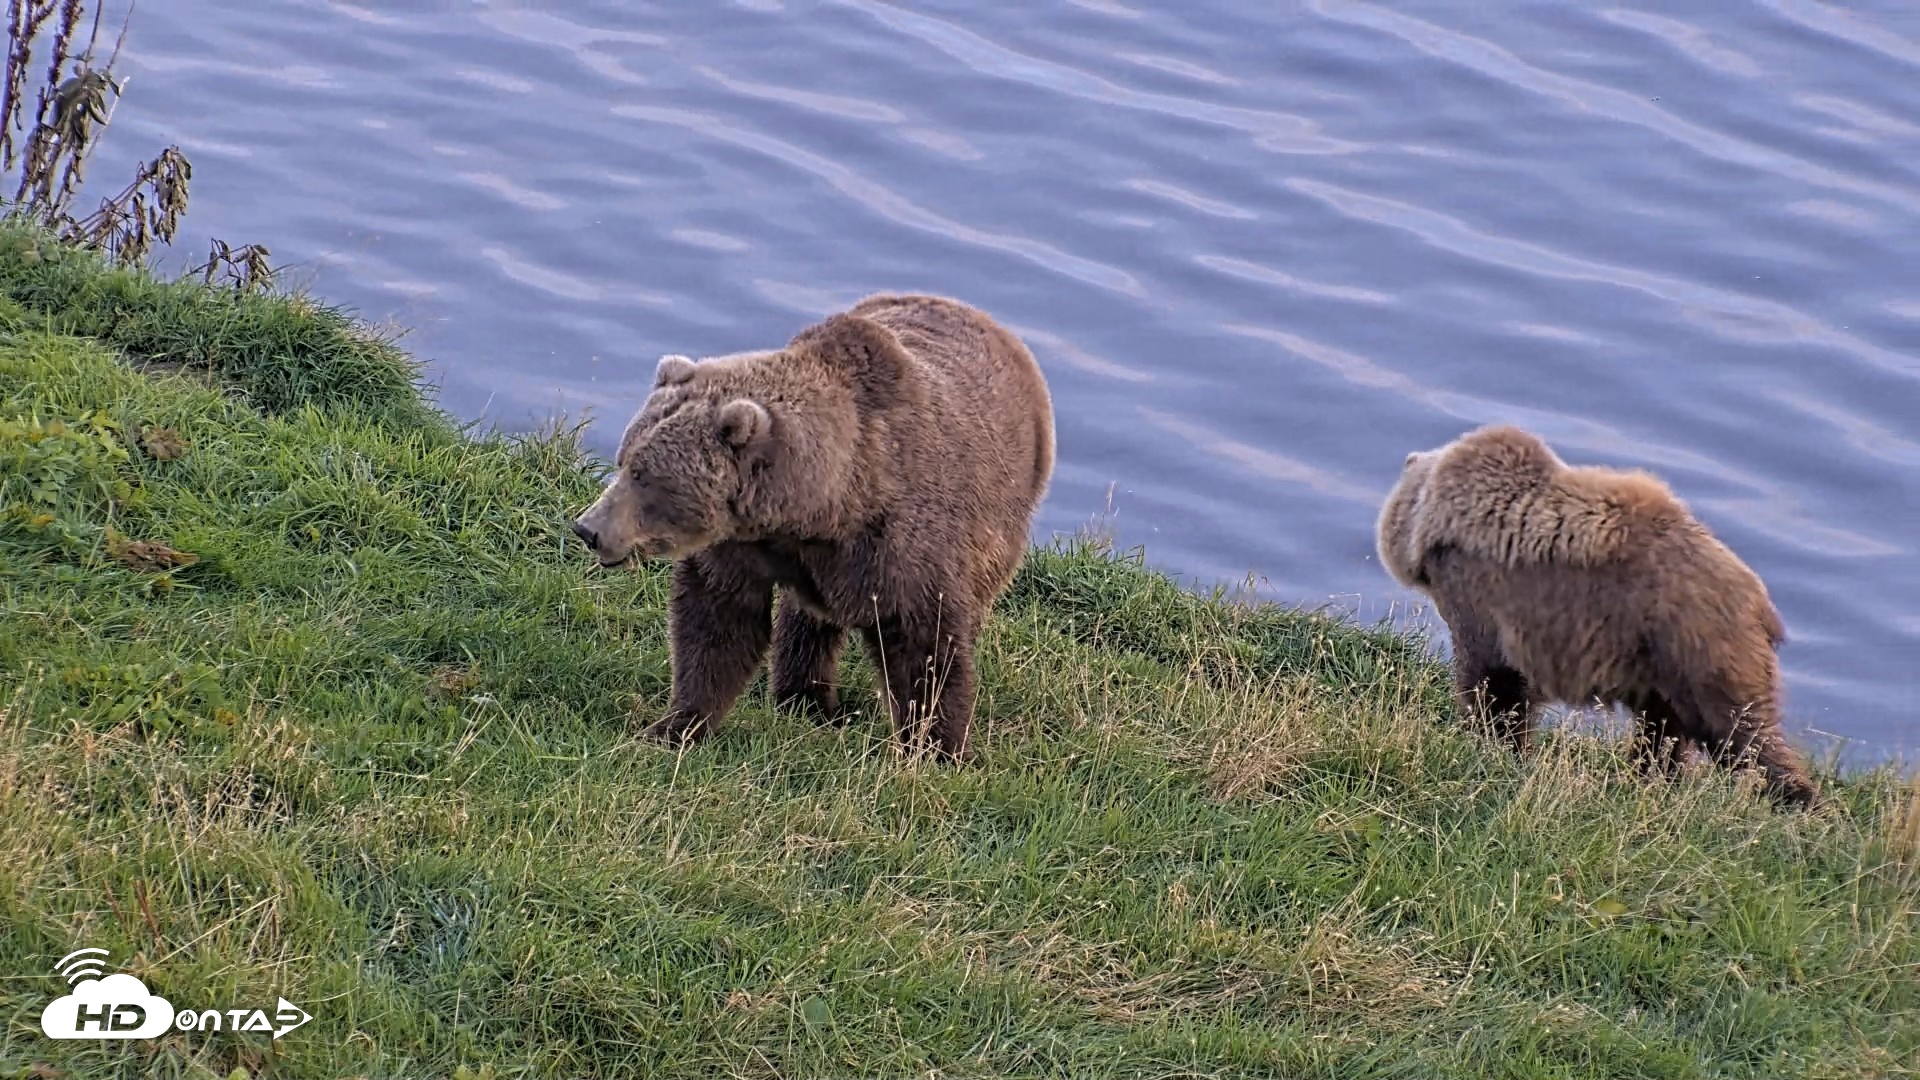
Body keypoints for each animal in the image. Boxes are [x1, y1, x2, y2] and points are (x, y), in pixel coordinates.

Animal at [571, 292, 1055, 761]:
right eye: (624, 460)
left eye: (644, 476)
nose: (587, 528)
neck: (828, 503)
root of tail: (989, 322)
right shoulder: (744, 545)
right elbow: (717, 624)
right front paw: (676, 725)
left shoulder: (905, 548)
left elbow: (926, 649)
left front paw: (937, 748)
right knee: (806, 621)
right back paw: (804, 698)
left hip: (1002, 520)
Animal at [1375, 423, 1818, 807]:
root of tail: (1761, 603)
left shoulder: (1484, 594)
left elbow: (1493, 680)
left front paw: (1491, 744)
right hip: (1662, 664)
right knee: (1664, 731)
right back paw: (1649, 779)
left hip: (1699, 648)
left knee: (1742, 734)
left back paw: (1795, 801)